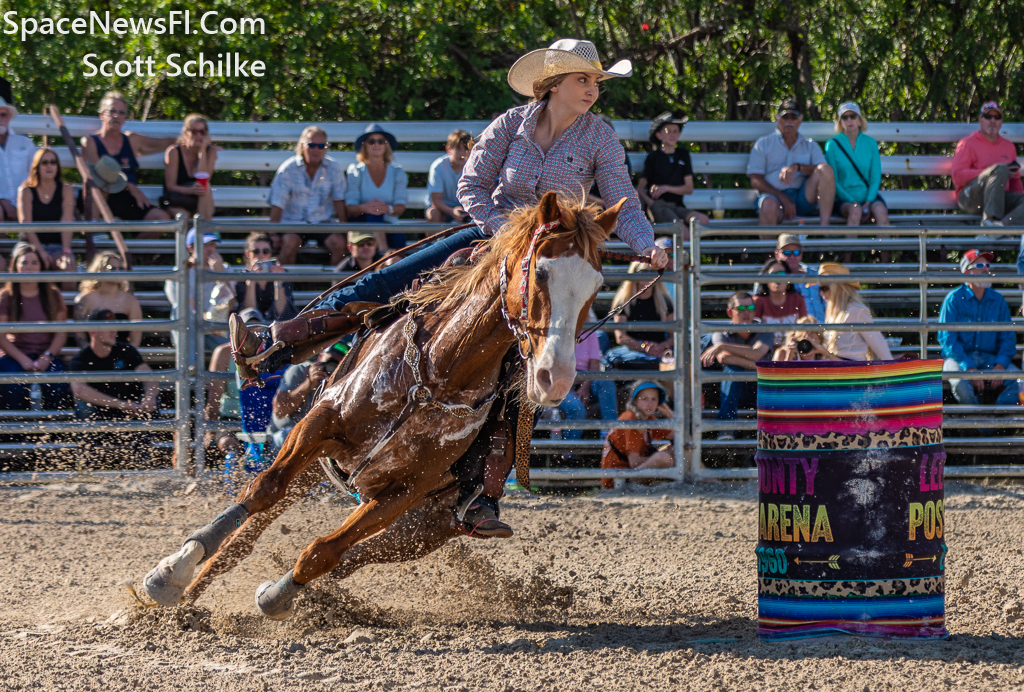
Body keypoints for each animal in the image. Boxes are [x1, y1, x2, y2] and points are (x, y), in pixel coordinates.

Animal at [144, 191, 622, 618]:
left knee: (353, 557)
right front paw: (174, 568)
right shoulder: (318, 426)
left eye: (596, 287)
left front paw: (275, 596)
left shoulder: (402, 492)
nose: (555, 376)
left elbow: (324, 552)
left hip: (426, 526)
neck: (439, 371)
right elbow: (262, 490)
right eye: (540, 271)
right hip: (325, 466)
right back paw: (179, 593)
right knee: (244, 538)